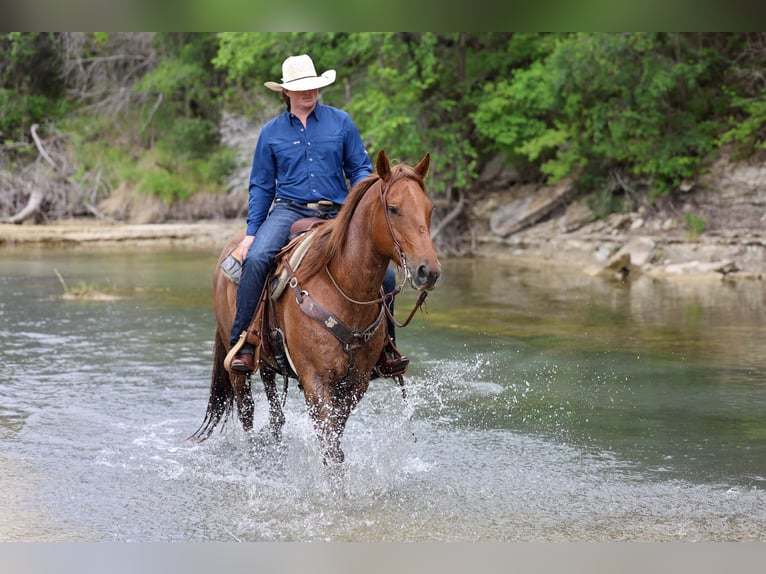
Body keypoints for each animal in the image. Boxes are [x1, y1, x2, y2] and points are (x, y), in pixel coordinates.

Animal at [190, 150, 441, 463]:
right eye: (393, 209)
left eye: (429, 209)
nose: (428, 271)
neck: (344, 288)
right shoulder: (315, 381)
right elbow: (332, 448)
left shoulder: (355, 385)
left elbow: (335, 439)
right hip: (236, 364)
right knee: (247, 411)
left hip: (269, 362)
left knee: (275, 414)